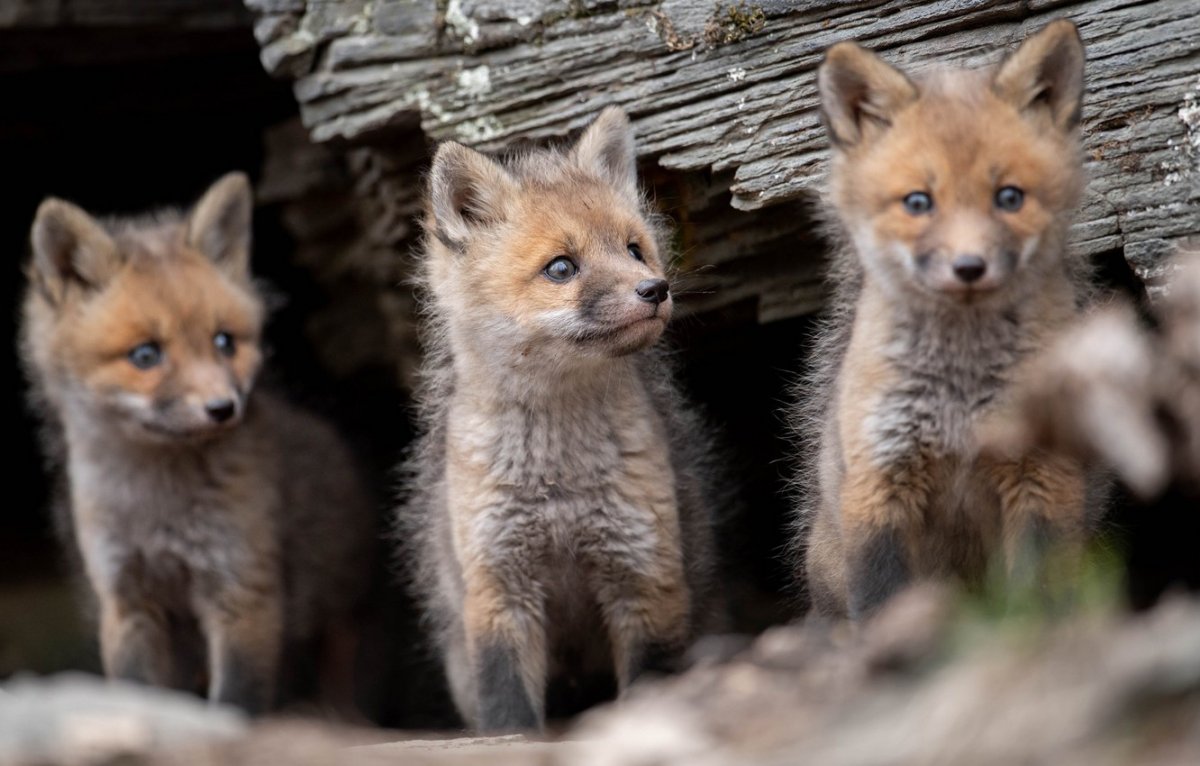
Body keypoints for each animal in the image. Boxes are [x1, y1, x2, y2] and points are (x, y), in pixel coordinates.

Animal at [19, 173, 376, 714]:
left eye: (224, 342)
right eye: (145, 355)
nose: (223, 408)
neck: (155, 504)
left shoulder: (242, 590)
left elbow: (236, 701)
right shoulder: (126, 598)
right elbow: (136, 691)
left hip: (341, 621)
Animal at [397, 107, 720, 732]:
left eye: (634, 249)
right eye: (562, 267)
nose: (656, 289)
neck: (558, 483)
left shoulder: (644, 572)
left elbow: (648, 682)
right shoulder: (498, 584)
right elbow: (507, 707)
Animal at [792, 20, 1101, 619]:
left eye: (1009, 197)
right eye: (918, 202)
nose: (969, 268)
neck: (959, 398)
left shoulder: (1043, 475)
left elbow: (1038, 594)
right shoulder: (881, 479)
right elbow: (884, 596)